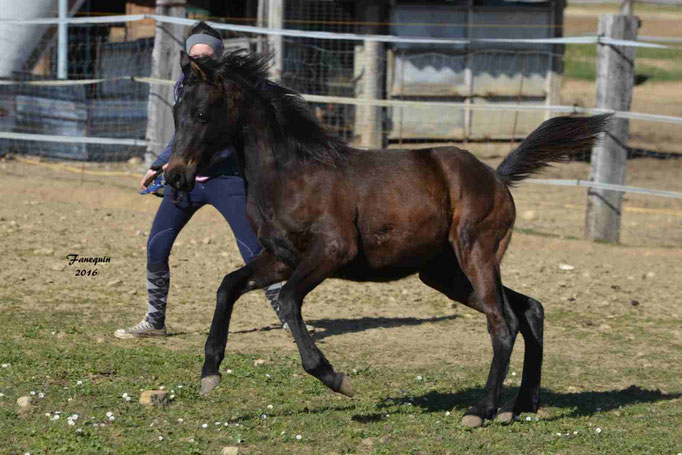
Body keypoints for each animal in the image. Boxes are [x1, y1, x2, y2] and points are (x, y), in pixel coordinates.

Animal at [163, 50, 604, 428]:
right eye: (175, 113)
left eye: (201, 114)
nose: (175, 176)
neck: (292, 173)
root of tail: (496, 176)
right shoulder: (281, 257)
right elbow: (228, 286)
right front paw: (209, 373)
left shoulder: (332, 251)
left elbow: (288, 301)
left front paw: (335, 378)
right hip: (445, 273)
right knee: (530, 309)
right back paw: (522, 405)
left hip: (476, 254)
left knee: (503, 322)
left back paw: (482, 410)